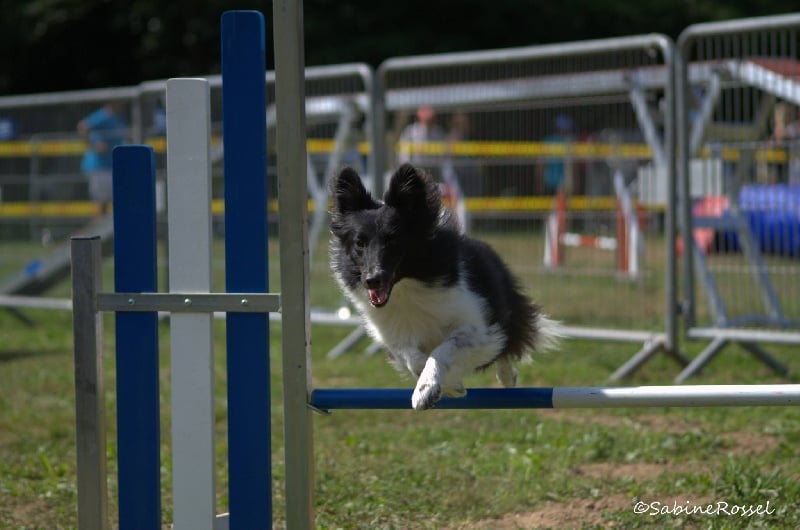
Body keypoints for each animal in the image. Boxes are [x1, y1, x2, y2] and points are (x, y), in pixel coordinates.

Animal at [328, 164, 560, 408]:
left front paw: (426, 388)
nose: (372, 279)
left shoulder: (474, 327)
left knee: (504, 345)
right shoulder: (394, 337)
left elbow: (441, 350)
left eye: (392, 240)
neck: (405, 289)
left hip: (501, 311)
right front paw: (450, 386)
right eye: (359, 243)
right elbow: (413, 359)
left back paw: (507, 376)